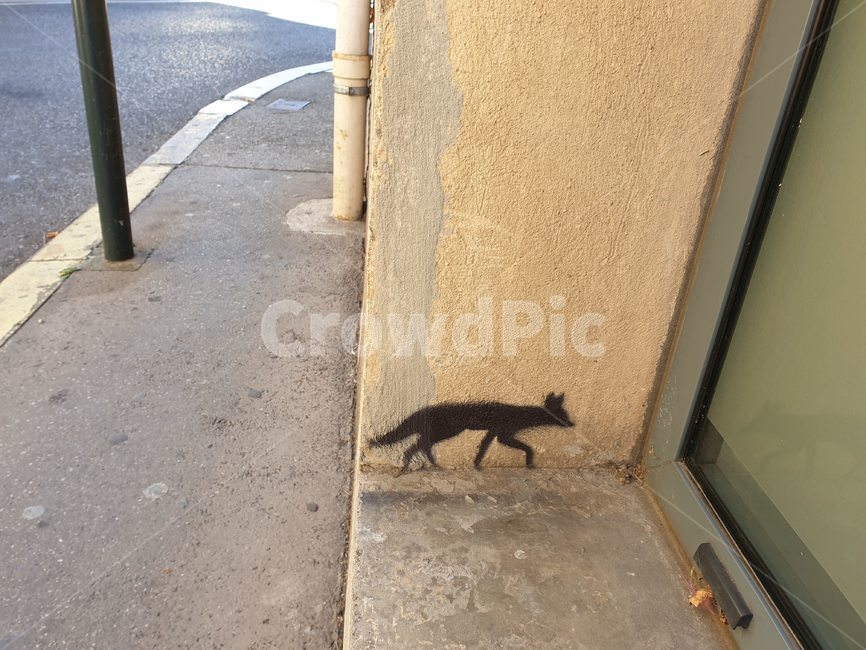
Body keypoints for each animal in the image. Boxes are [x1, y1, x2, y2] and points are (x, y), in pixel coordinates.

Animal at [371, 392, 575, 471]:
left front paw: (476, 464)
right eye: (563, 415)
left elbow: (482, 448)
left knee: (421, 443)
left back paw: (428, 463)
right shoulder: (503, 434)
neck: (519, 415)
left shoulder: (492, 433)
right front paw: (530, 463)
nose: (572, 424)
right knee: (419, 444)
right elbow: (527, 448)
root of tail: (427, 409)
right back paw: (412, 463)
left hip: (442, 432)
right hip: (448, 431)